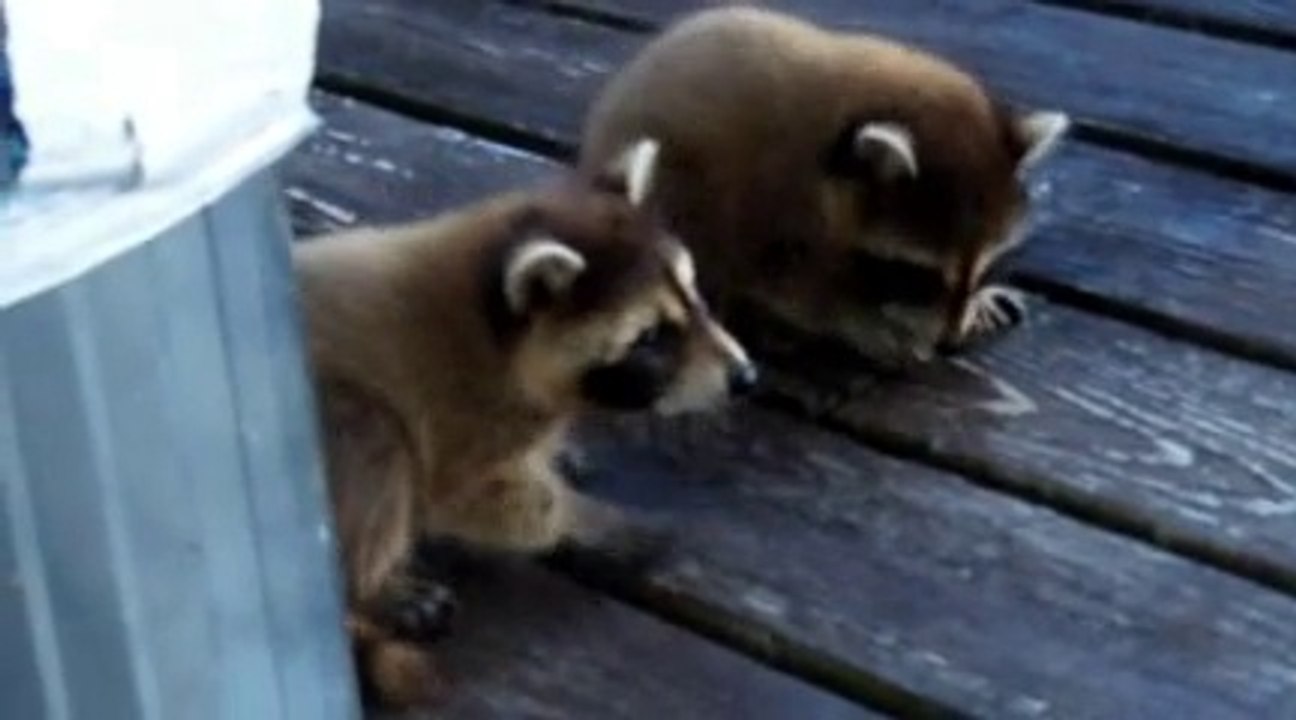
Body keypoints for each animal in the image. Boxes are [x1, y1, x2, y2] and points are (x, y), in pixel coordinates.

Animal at [292, 138, 755, 708]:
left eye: (694, 297)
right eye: (650, 338)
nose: (746, 377)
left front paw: (557, 455)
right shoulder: (457, 414)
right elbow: (493, 500)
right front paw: (589, 520)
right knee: (376, 449)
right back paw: (371, 588)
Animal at [580, 7, 1070, 366]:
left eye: (987, 266)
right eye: (918, 274)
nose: (950, 344)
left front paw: (976, 302)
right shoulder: (776, 209)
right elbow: (793, 288)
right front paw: (861, 326)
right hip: (674, 182)